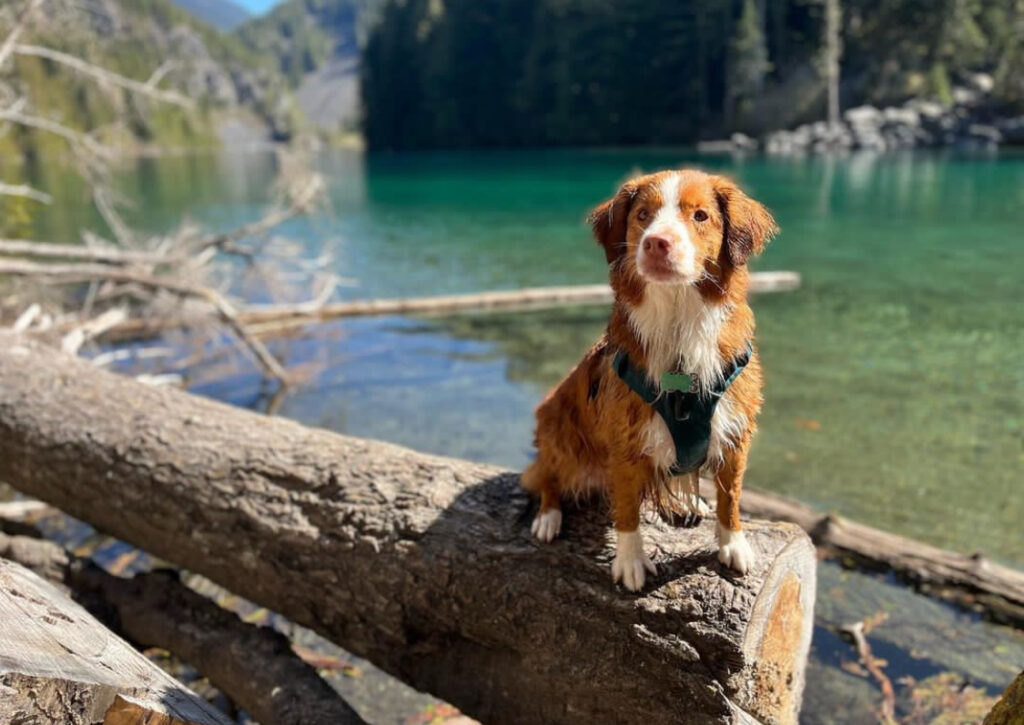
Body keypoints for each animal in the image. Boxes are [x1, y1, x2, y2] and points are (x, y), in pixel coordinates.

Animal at [524, 168, 778, 589]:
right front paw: (630, 562)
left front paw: (733, 543)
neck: (679, 322)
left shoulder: (735, 435)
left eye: (700, 216)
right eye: (643, 215)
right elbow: (627, 508)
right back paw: (548, 516)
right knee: (547, 476)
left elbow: (731, 497)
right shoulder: (625, 442)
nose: (657, 242)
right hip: (559, 434)